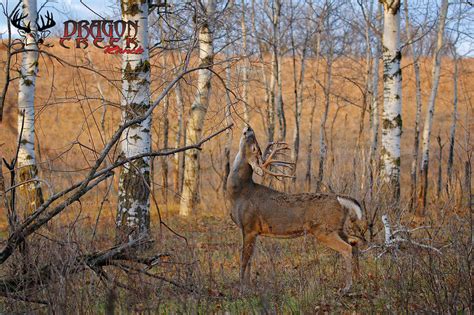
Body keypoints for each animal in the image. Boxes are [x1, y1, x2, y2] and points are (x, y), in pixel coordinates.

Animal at [227, 126, 362, 294]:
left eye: (254, 148)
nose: (248, 128)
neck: (239, 193)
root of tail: (338, 198)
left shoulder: (249, 226)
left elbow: (244, 260)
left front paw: (242, 288)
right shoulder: (253, 231)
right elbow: (250, 260)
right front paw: (249, 286)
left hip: (324, 230)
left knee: (347, 248)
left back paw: (346, 287)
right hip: (337, 228)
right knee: (354, 243)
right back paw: (358, 280)